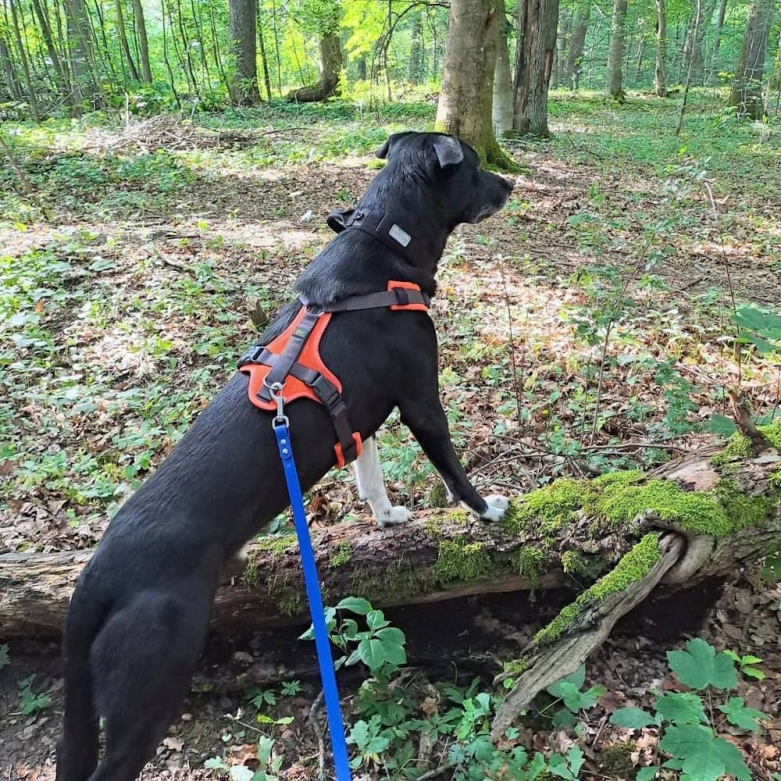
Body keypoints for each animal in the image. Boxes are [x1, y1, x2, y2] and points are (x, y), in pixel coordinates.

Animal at [58, 131, 516, 776]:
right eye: (473, 165)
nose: (511, 183)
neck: (386, 244)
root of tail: (96, 577)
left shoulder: (361, 418)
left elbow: (370, 477)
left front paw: (387, 517)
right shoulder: (421, 402)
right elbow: (453, 470)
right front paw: (489, 510)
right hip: (151, 684)